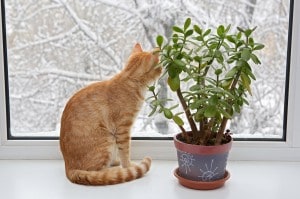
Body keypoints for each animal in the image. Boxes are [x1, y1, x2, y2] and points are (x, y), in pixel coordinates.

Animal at [59, 43, 162, 185]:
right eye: (160, 64)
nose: (163, 68)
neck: (130, 80)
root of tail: (68, 168)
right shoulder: (123, 128)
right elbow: (125, 151)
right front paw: (128, 166)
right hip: (107, 140)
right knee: (99, 173)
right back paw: (116, 170)